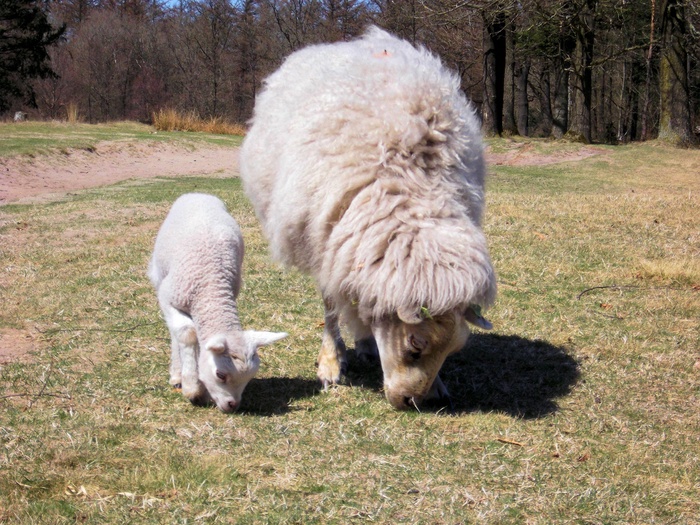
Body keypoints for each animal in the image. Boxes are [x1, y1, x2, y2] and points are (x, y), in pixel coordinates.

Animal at [149, 190, 288, 412]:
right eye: (220, 374)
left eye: (250, 377)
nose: (233, 405)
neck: (211, 288)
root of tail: (198, 193)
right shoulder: (168, 296)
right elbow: (187, 333)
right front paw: (192, 388)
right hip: (159, 274)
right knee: (175, 332)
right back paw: (177, 373)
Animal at [241, 26, 498, 410]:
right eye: (414, 345)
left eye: (451, 353)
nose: (413, 402)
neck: (411, 183)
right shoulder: (326, 239)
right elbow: (331, 306)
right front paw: (331, 362)